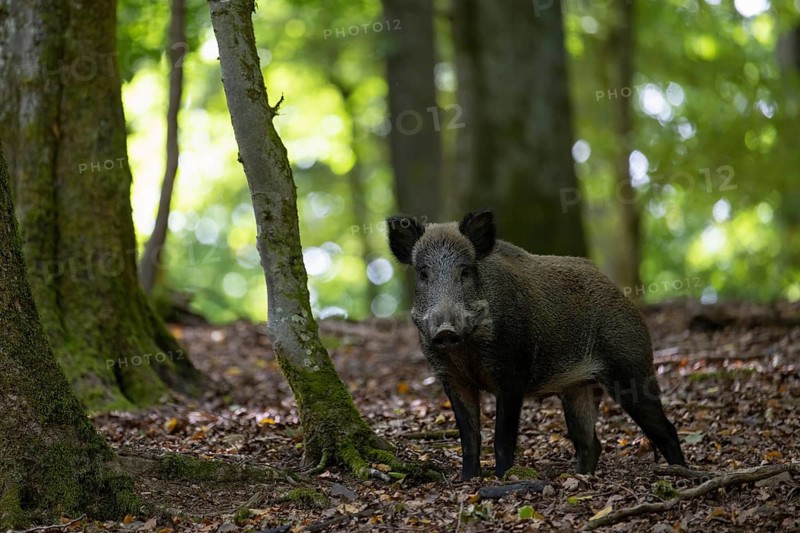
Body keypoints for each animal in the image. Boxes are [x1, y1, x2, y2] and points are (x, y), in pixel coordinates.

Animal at [386, 209, 686, 480]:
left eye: (465, 271)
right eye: (423, 273)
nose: (445, 330)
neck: (466, 350)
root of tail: (619, 292)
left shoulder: (512, 375)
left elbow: (502, 438)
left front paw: (503, 478)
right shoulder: (451, 378)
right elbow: (469, 438)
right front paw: (467, 480)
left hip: (631, 366)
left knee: (665, 429)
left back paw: (680, 472)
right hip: (578, 388)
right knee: (590, 443)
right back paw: (580, 477)